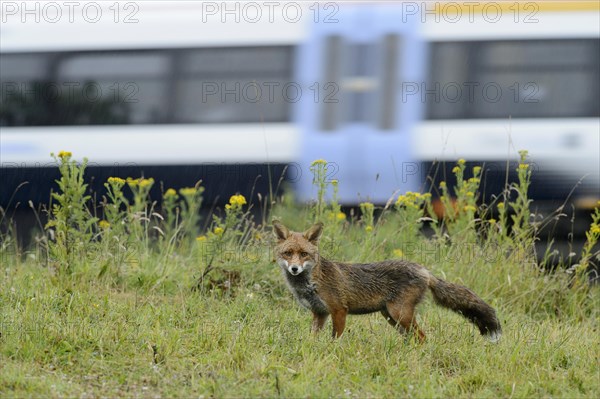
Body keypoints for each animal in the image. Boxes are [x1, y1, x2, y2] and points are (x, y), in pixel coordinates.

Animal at [272, 222, 502, 344]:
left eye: (303, 254)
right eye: (288, 253)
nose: (294, 269)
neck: (310, 284)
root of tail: (424, 269)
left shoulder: (339, 310)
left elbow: (335, 339)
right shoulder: (319, 313)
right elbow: (313, 338)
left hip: (399, 314)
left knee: (422, 338)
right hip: (392, 317)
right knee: (415, 338)